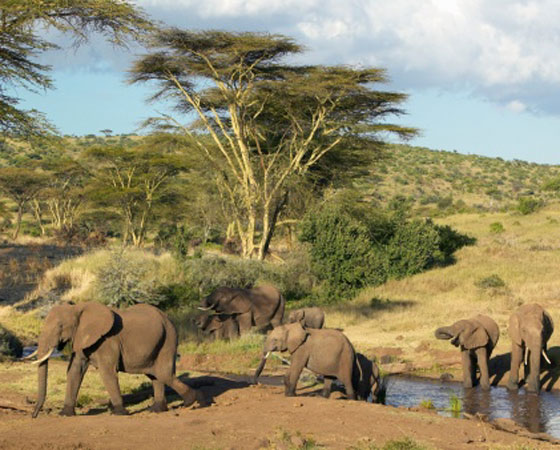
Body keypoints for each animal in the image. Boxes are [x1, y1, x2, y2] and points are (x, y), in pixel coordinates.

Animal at [26, 302, 201, 418]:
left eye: (60, 326)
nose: (34, 415)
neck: (78, 307)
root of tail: (168, 318)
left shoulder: (107, 341)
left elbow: (107, 373)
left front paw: (120, 413)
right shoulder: (81, 339)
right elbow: (74, 371)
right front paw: (65, 414)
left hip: (168, 339)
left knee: (163, 374)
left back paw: (192, 401)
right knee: (155, 376)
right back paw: (156, 410)